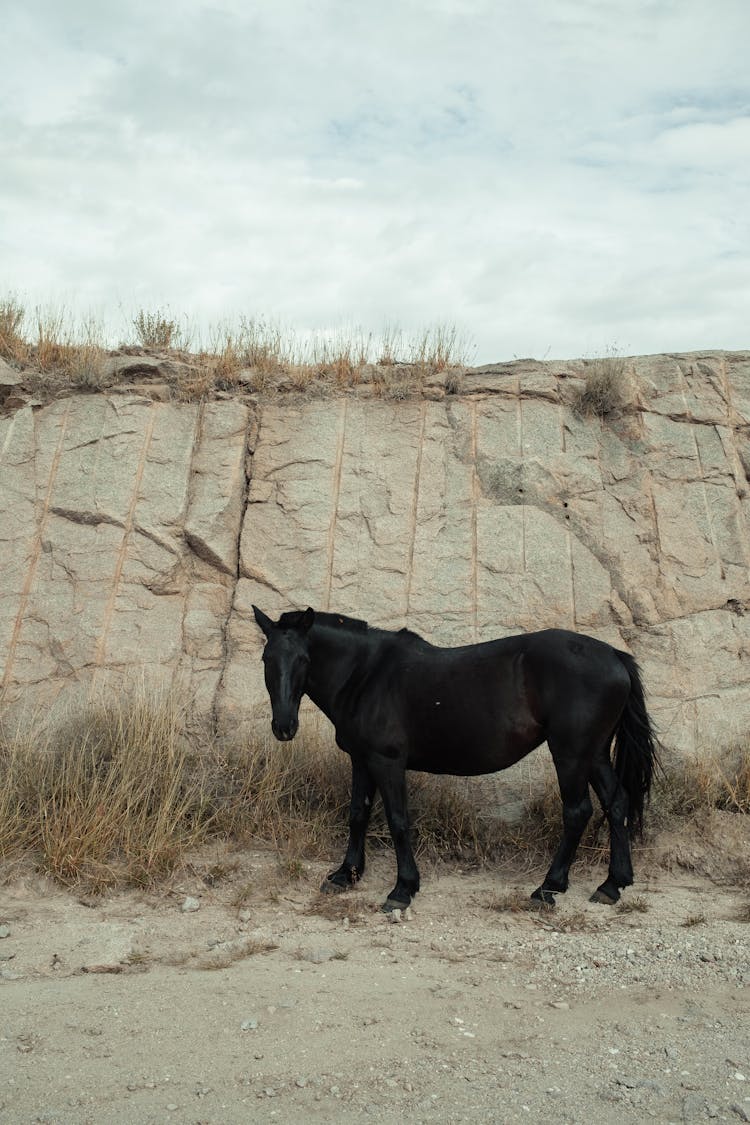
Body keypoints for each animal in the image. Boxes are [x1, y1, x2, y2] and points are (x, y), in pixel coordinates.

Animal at [251, 607, 656, 913]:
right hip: (595, 753)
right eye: (267, 658)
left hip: (571, 754)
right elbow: (357, 814)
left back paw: (548, 888)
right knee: (617, 803)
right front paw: (345, 874)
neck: (366, 675)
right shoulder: (362, 761)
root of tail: (614, 656)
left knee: (577, 812)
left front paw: (403, 889)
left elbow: (398, 820)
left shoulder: (386, 762)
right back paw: (613, 884)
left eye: (304, 659)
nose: (284, 726)